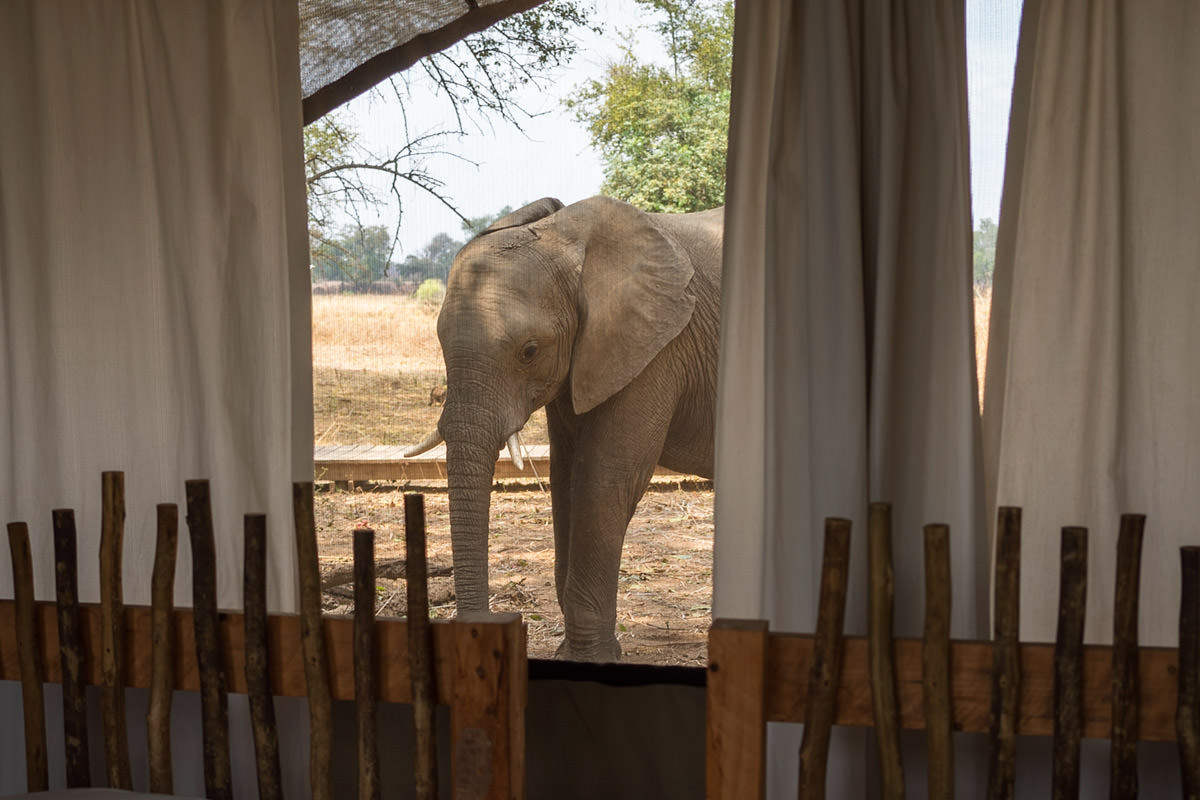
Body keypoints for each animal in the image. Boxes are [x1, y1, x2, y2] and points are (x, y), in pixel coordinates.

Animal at [403, 196, 720, 662]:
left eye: (530, 351)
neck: (567, 237)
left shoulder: (655, 347)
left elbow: (604, 478)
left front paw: (590, 660)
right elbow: (566, 476)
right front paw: (574, 653)